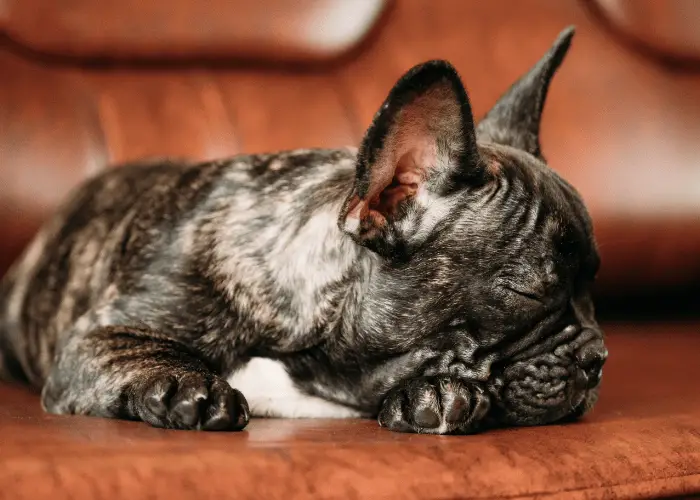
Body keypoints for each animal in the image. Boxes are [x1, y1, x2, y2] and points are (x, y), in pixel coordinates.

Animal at [0, 26, 608, 434]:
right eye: (528, 292)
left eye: (593, 290)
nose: (598, 359)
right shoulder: (97, 336)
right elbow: (138, 351)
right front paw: (185, 386)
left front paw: (433, 395)